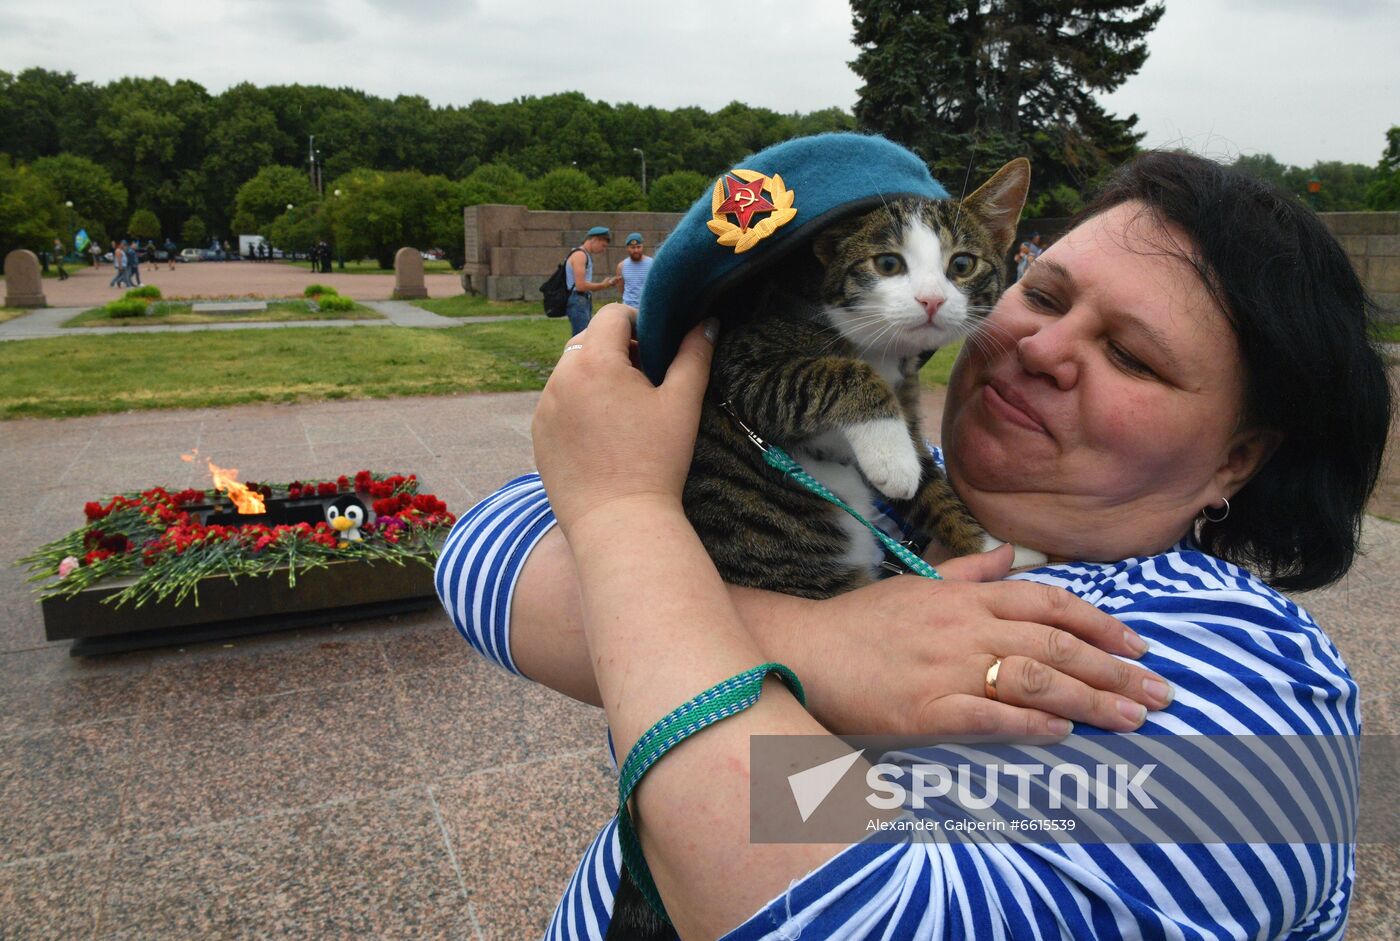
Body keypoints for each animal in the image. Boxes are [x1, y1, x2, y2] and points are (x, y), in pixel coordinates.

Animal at [610, 156, 1041, 941]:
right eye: (887, 264)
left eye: (963, 264)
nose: (932, 301)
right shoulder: (746, 365)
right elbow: (834, 373)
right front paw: (889, 457)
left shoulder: (912, 402)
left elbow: (936, 488)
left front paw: (994, 547)